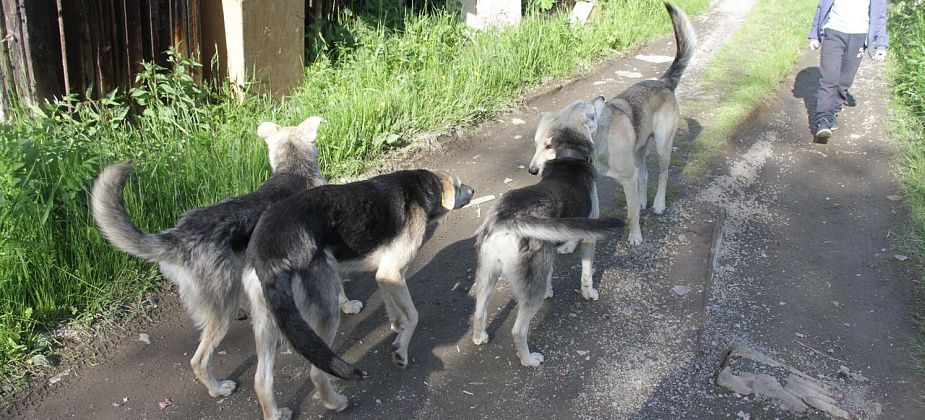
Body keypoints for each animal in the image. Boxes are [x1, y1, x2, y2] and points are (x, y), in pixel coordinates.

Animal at [90, 116, 358, 398]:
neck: (293, 168)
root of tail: (179, 235)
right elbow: (339, 289)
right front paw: (348, 305)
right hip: (222, 310)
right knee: (198, 360)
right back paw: (218, 389)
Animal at [242, 169, 472, 418]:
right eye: (459, 186)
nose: (473, 191)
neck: (421, 189)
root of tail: (267, 251)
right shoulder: (392, 273)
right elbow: (413, 316)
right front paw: (401, 351)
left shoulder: (386, 276)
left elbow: (395, 309)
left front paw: (396, 327)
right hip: (326, 312)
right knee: (316, 373)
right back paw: (336, 403)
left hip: (268, 322)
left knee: (261, 380)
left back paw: (275, 413)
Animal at [472, 101, 624, 368]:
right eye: (592, 112)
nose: (602, 98)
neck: (569, 156)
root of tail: (505, 219)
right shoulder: (589, 236)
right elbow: (587, 273)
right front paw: (589, 293)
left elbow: (552, 269)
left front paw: (551, 289)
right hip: (527, 293)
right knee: (518, 331)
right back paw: (529, 360)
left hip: (488, 273)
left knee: (479, 311)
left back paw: (480, 337)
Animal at [584, 2, 692, 246]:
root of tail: (663, 83)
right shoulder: (593, 186)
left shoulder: (627, 179)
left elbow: (631, 213)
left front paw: (635, 236)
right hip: (639, 148)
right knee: (644, 174)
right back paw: (644, 200)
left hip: (662, 145)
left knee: (662, 174)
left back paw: (658, 203)